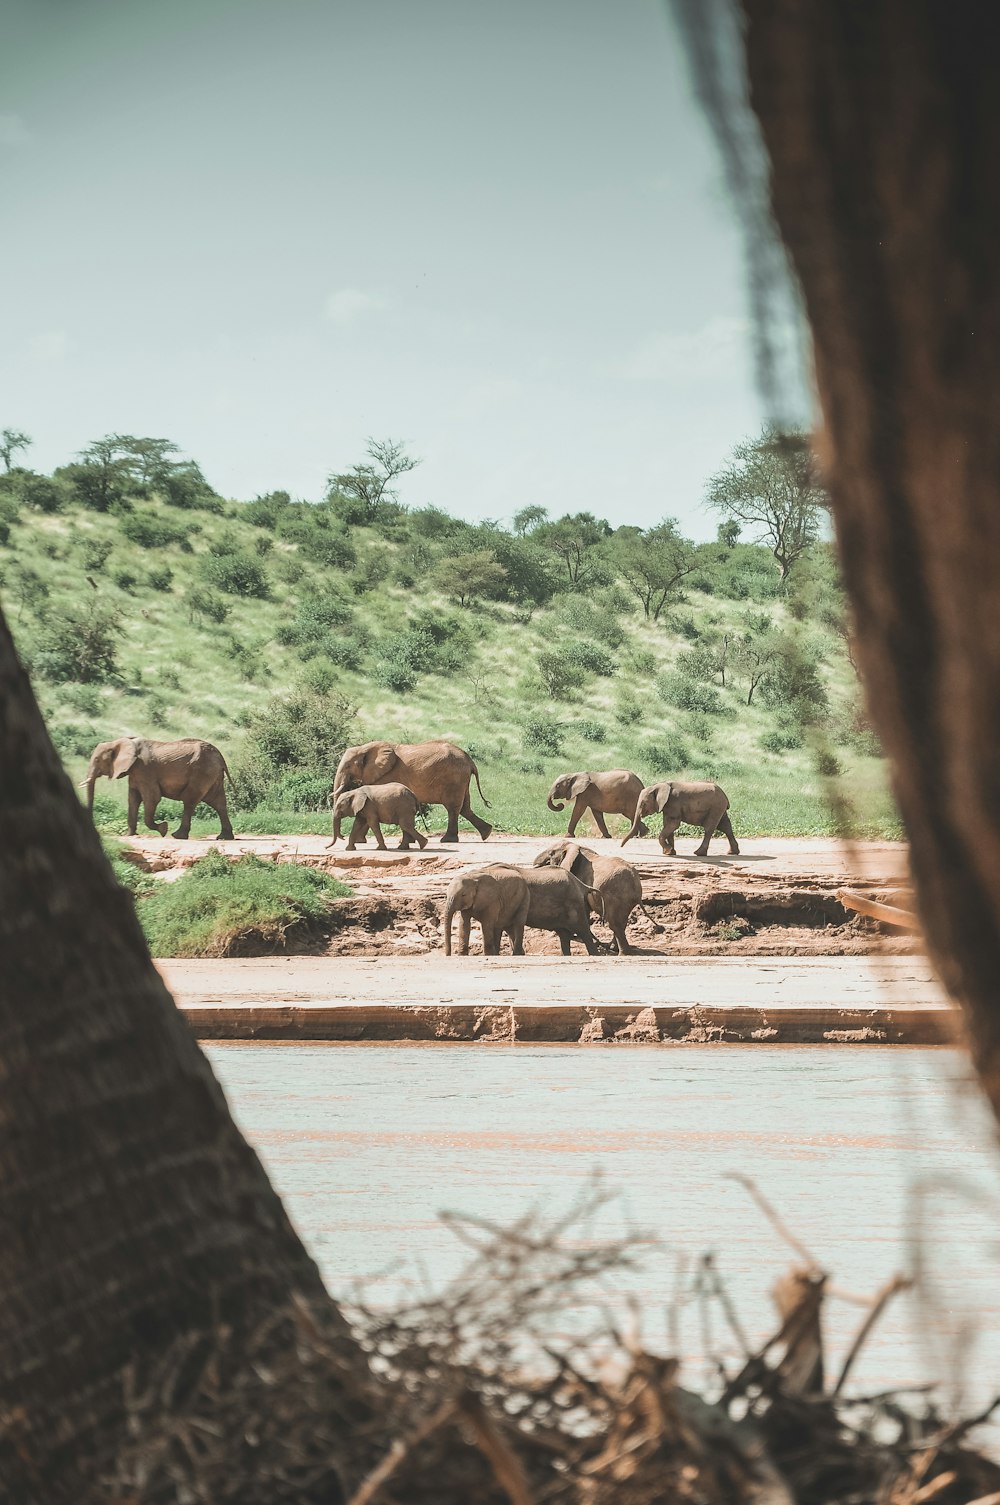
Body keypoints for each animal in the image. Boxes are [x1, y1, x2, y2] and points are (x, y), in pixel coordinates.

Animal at [82, 734, 234, 842]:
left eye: (97, 760)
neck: (121, 742)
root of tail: (220, 757)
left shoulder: (145, 770)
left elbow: (152, 798)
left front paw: (163, 829)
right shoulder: (135, 773)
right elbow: (133, 799)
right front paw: (130, 835)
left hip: (201, 772)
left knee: (189, 801)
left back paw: (177, 835)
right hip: (212, 774)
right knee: (218, 803)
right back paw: (224, 837)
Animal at [334, 740, 493, 848]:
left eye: (348, 765)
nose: (342, 837)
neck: (365, 748)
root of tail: (470, 760)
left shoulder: (385, 776)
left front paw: (360, 841)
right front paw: (361, 841)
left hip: (454, 778)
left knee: (453, 808)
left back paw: (447, 840)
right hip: (461, 780)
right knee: (465, 808)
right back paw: (486, 833)